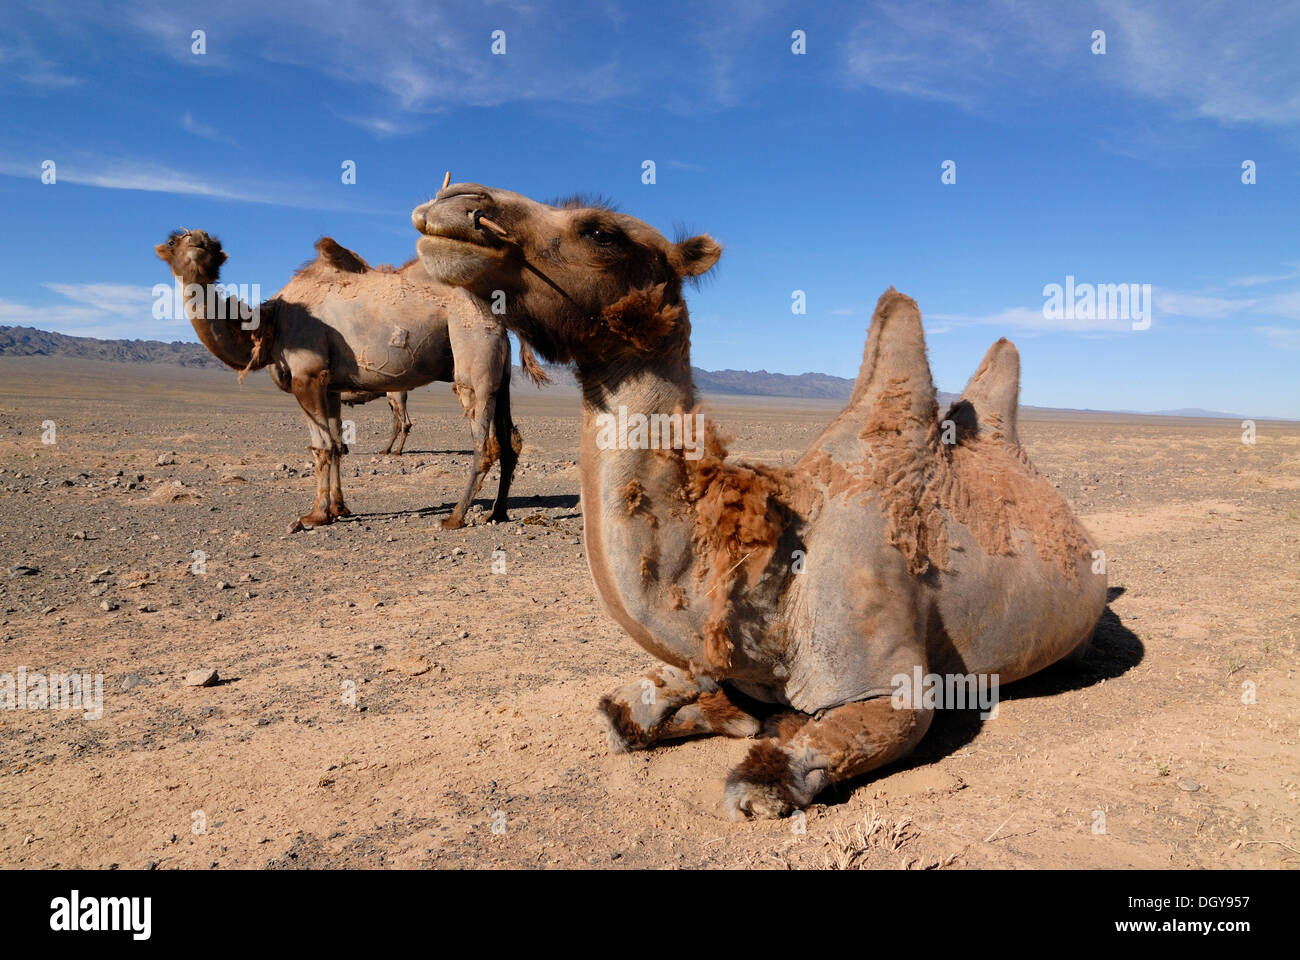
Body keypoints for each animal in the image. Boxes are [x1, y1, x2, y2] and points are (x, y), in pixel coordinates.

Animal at [154, 228, 546, 535]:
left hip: (471, 348)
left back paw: (454, 517)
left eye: (209, 241)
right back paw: (497, 512)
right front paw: (338, 508)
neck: (270, 324)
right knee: (510, 441)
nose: (200, 240)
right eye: (175, 239)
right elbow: (336, 446)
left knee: (484, 442)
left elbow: (321, 448)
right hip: (500, 373)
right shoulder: (328, 385)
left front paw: (314, 516)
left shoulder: (307, 375)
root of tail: (499, 310)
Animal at [413, 178, 1107, 816]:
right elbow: (625, 714)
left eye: (602, 232)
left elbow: (771, 773)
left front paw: (760, 740)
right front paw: (715, 711)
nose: (457, 201)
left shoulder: (889, 682)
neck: (774, 592)